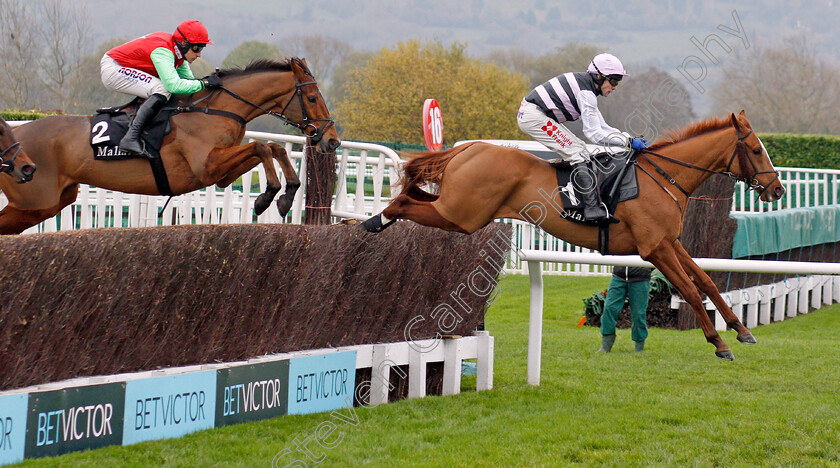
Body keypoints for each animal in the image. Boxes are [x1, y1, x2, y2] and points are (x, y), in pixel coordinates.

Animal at [1, 57, 342, 234]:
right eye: (313, 98)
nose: (332, 139)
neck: (215, 109)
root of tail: (17, 145)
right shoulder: (207, 167)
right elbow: (261, 146)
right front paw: (268, 196)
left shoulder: (221, 175)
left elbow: (274, 148)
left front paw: (286, 195)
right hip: (35, 202)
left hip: (49, 202)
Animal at [364, 111, 784, 360]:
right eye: (755, 150)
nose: (777, 190)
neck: (664, 177)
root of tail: (465, 149)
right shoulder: (655, 249)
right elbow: (692, 292)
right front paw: (720, 344)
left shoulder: (670, 243)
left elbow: (707, 283)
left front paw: (742, 330)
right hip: (461, 215)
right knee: (403, 202)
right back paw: (371, 223)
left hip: (457, 210)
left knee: (413, 195)